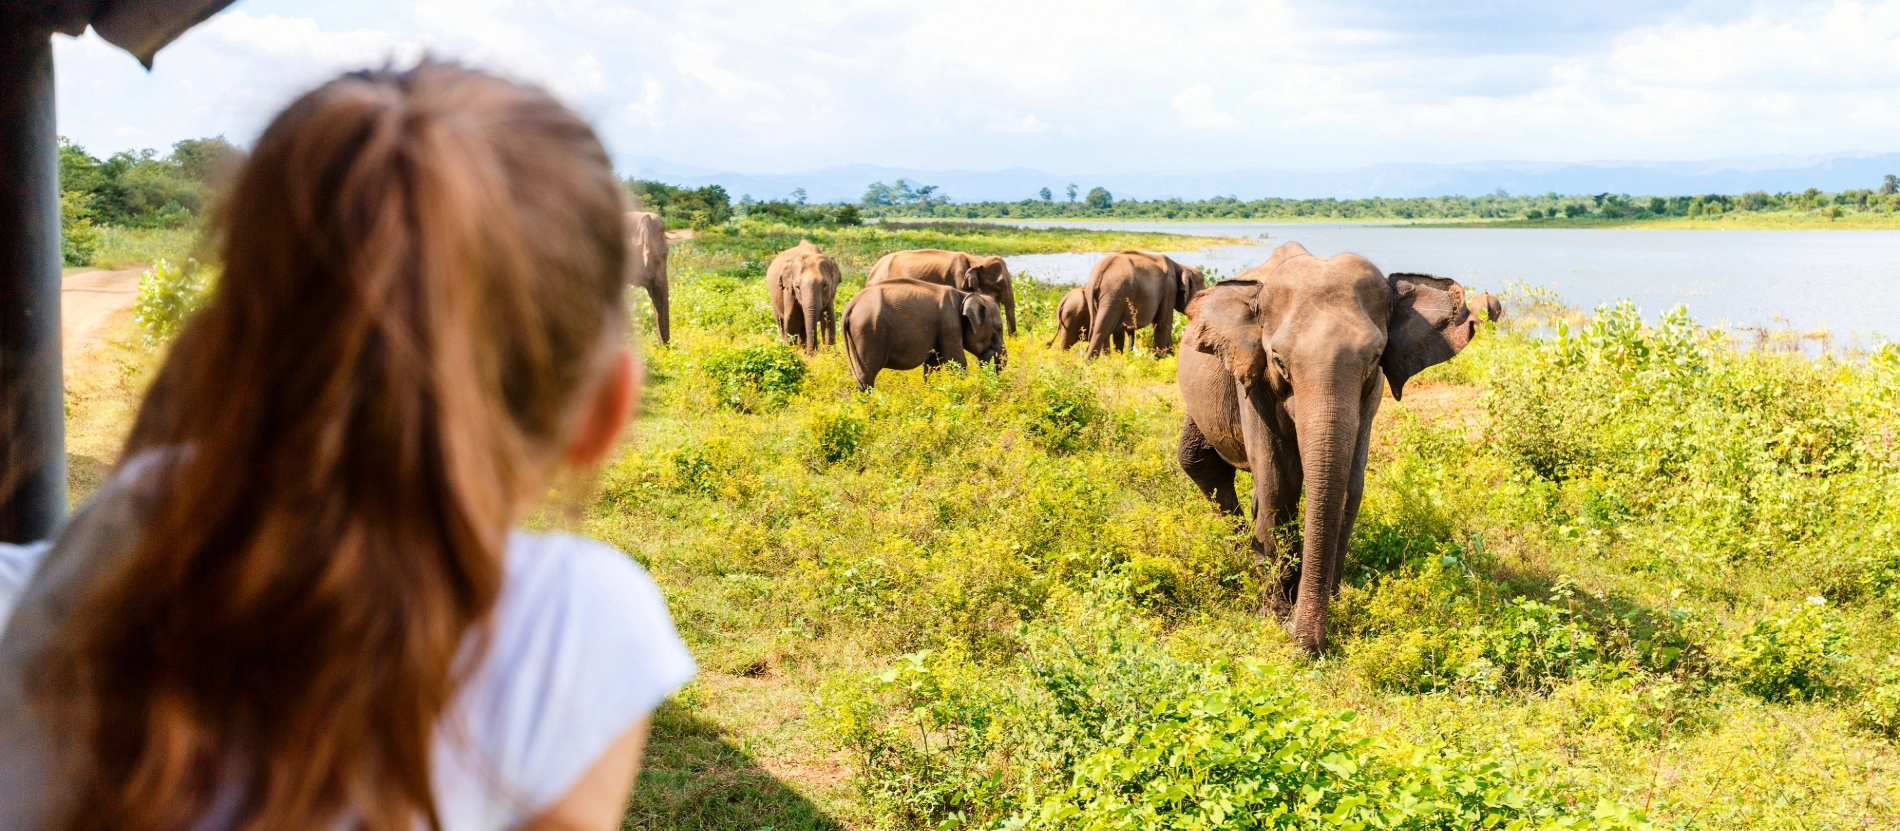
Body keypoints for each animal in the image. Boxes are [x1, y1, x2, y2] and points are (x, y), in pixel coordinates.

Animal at [841, 278, 1006, 391]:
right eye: (999, 328)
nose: (991, 351)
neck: (964, 295)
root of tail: (851, 304)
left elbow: (933, 365)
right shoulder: (949, 324)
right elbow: (956, 361)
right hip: (868, 332)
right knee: (867, 376)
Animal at [1176, 241, 1473, 654]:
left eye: (1375, 357)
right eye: (1278, 360)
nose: (1305, 645)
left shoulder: (1371, 393)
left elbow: (1349, 484)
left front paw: (1325, 604)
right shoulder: (1253, 383)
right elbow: (1278, 482)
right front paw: (1278, 614)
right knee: (1201, 461)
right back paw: (1247, 559)